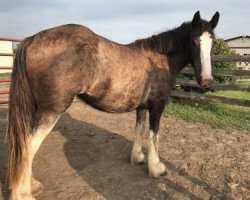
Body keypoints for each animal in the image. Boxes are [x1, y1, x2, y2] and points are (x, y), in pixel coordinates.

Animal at [6, 11, 219, 200]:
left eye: (213, 42)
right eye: (194, 41)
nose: (206, 80)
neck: (159, 59)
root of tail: (33, 39)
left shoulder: (142, 106)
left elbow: (139, 129)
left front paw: (137, 158)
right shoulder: (157, 106)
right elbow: (154, 136)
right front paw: (156, 168)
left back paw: (32, 185)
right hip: (51, 110)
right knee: (29, 145)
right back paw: (23, 193)